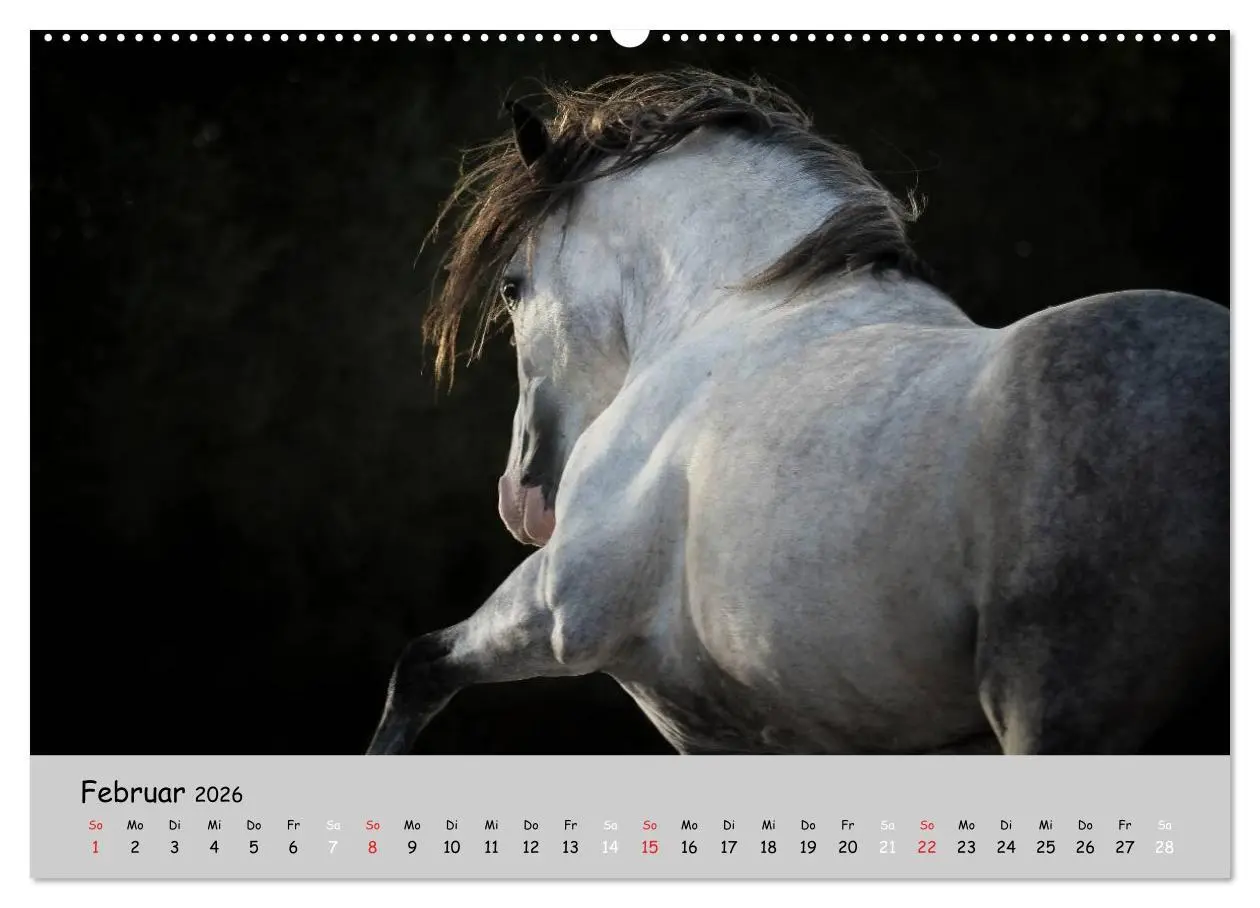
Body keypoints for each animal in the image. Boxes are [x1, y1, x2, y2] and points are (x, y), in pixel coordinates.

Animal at [367, 71, 1229, 756]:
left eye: (514, 287)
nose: (523, 497)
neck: (738, 311)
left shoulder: (562, 608)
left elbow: (420, 667)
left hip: (1053, 710)